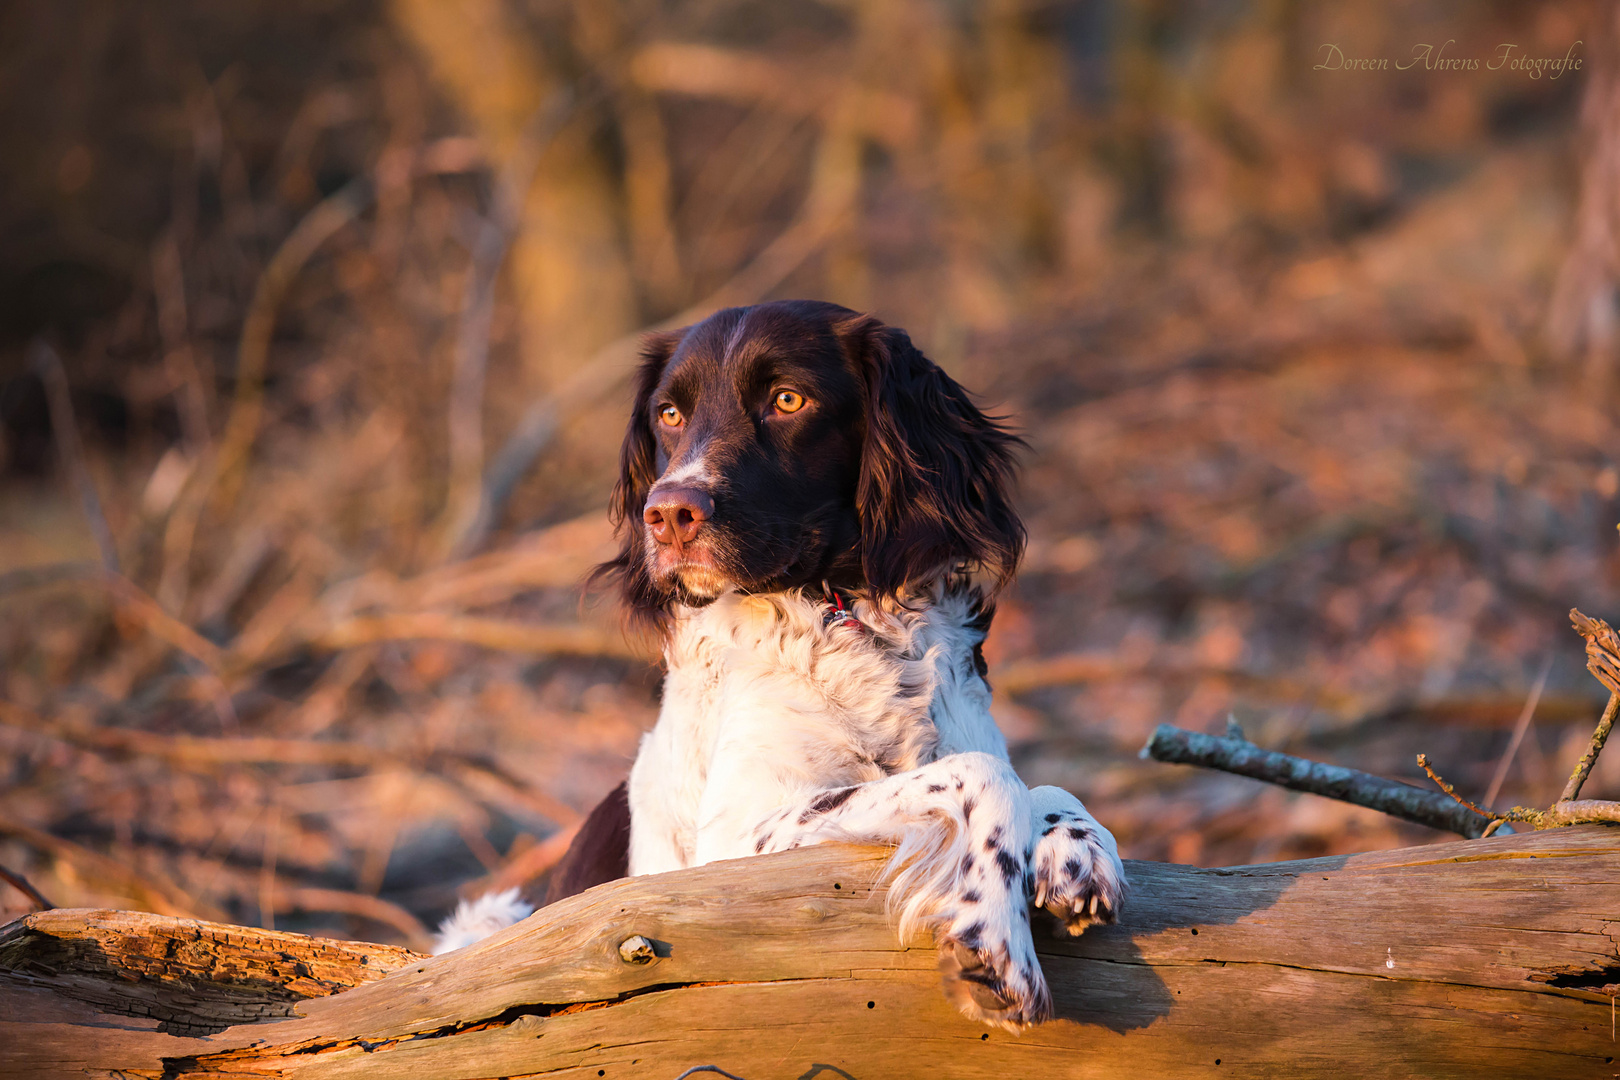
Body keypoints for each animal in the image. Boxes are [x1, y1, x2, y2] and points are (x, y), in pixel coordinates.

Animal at [443, 299, 1127, 1036]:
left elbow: (1036, 782)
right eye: (670, 413)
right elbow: (983, 775)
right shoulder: (732, 847)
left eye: (788, 400)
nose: (667, 514)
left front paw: (1079, 848)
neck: (842, 612)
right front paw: (996, 945)